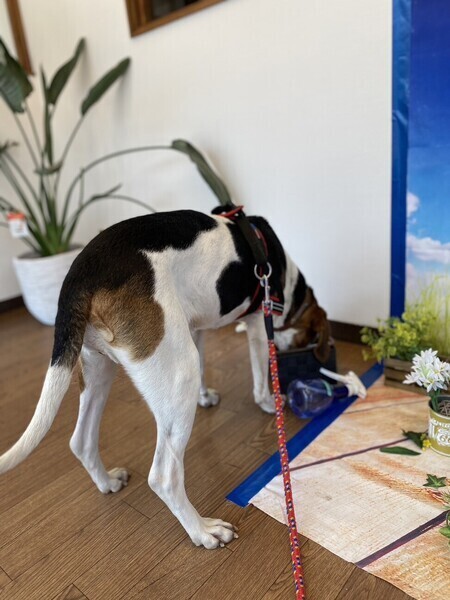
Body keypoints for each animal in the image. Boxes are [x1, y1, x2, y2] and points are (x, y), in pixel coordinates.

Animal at [0, 209, 330, 549]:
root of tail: (81, 274)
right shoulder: (257, 325)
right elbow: (261, 376)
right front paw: (270, 401)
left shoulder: (195, 328)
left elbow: (207, 365)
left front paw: (206, 396)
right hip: (178, 374)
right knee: (163, 477)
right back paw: (203, 531)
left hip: (100, 367)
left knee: (81, 441)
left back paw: (107, 481)